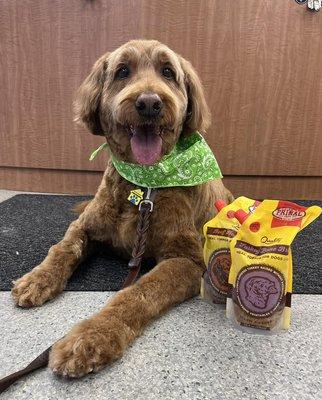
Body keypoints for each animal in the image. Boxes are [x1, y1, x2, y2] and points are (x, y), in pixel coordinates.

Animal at [10, 39, 231, 378]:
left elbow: (138, 292)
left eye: (168, 72)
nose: (150, 103)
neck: (143, 186)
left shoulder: (188, 259)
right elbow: (62, 248)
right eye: (123, 71)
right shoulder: (85, 227)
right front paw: (38, 278)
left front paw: (93, 336)